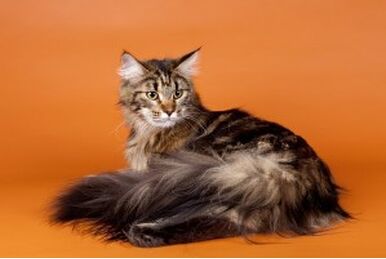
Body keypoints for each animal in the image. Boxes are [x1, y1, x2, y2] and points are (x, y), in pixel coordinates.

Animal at [51, 48, 350, 248]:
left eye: (178, 93)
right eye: (152, 95)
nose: (169, 111)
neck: (151, 133)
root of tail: (302, 167)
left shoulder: (156, 170)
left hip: (219, 172)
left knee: (230, 217)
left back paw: (144, 231)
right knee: (236, 220)